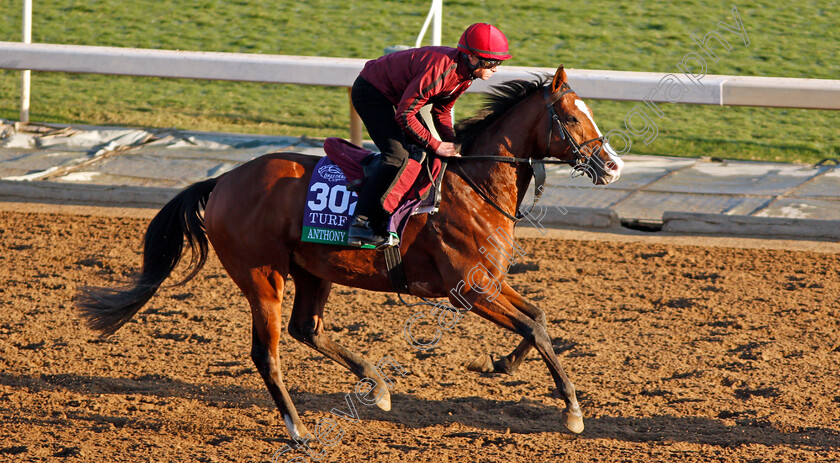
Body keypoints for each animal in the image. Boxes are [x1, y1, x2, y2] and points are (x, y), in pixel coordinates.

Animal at [75, 65, 620, 438]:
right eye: (572, 117)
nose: (613, 166)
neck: (474, 184)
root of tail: (223, 181)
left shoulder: (490, 280)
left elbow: (539, 317)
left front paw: (501, 365)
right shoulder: (468, 289)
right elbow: (533, 326)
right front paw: (572, 411)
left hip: (314, 270)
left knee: (306, 329)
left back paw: (375, 386)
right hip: (262, 276)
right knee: (267, 352)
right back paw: (298, 429)